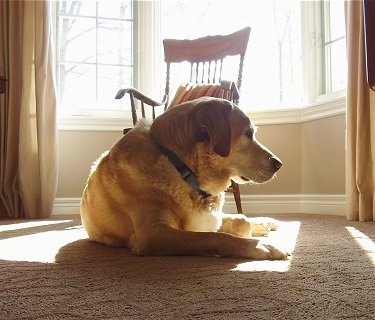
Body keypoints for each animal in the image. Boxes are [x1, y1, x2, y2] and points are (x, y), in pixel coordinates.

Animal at [81, 97, 290, 260]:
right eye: (248, 133)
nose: (279, 163)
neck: (180, 168)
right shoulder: (153, 233)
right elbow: (215, 237)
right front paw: (260, 246)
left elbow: (240, 220)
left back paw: (265, 222)